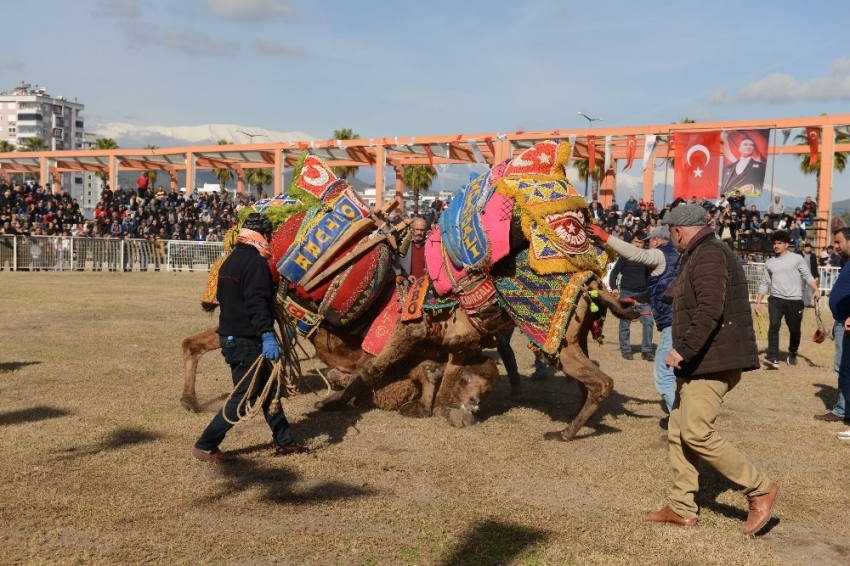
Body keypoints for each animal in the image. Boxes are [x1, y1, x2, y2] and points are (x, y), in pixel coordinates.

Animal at [186, 140, 636, 442]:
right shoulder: (433, 338)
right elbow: (413, 371)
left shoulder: (426, 337)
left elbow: (392, 371)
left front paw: (341, 401)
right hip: (572, 339)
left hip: (561, 340)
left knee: (598, 382)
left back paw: (565, 431)